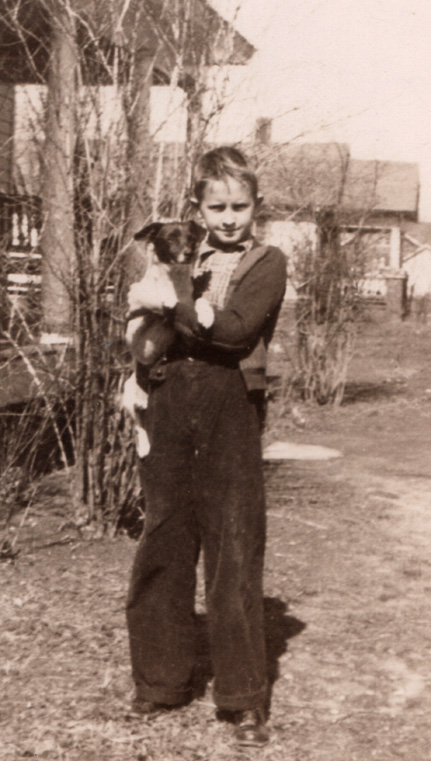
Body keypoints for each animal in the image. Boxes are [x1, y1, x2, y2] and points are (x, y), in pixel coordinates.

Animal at [122, 220, 208, 458]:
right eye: (170, 238)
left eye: (191, 238)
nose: (189, 253)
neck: (173, 281)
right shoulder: (132, 325)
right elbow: (155, 297)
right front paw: (166, 299)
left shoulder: (188, 306)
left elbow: (196, 304)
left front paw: (206, 315)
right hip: (127, 397)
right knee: (138, 425)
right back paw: (144, 446)